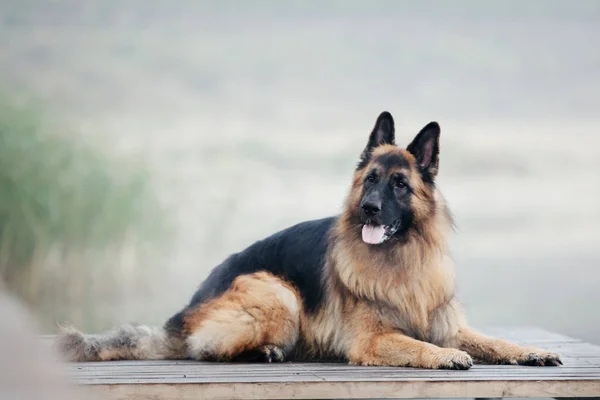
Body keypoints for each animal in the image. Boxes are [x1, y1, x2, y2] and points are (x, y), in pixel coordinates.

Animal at [56, 111, 564, 368]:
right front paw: (445, 357)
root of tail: (184, 310)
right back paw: (264, 351)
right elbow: (421, 345)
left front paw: (530, 351)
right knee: (206, 348)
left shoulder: (448, 323)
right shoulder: (374, 341)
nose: (369, 208)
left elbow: (494, 341)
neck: (401, 260)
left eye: (399, 184)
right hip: (277, 292)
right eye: (370, 180)